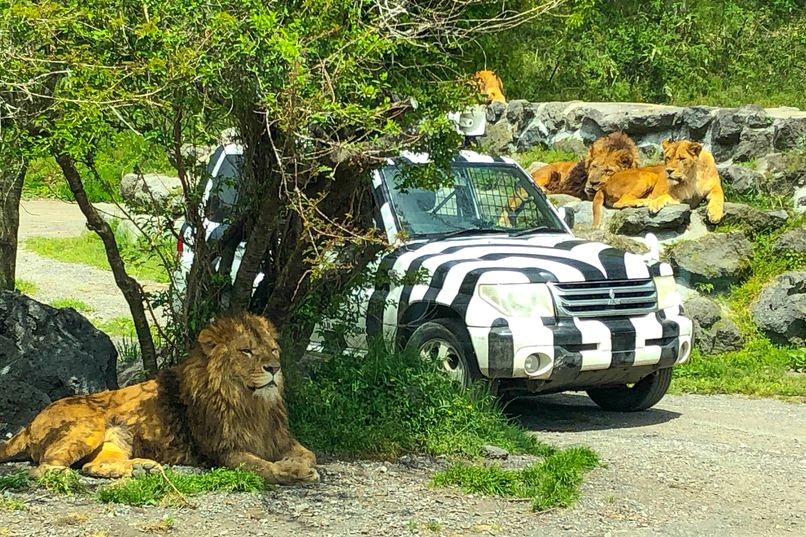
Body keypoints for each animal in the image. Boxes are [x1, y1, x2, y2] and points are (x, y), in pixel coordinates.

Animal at [0, 312, 322, 484]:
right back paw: (67, 478)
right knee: (43, 469)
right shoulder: (221, 451)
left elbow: (310, 454)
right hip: (88, 427)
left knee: (94, 466)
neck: (250, 404)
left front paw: (301, 464)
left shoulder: (279, 439)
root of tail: (29, 424)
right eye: (246, 351)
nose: (274, 368)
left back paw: (141, 468)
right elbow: (262, 466)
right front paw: (293, 471)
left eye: (273, 350)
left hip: (119, 436)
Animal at [592, 138, 728, 226]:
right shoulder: (677, 196)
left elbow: (718, 197)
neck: (691, 176)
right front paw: (654, 203)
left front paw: (715, 214)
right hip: (649, 175)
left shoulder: (714, 188)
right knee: (621, 202)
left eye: (681, 158)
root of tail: (604, 185)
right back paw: (644, 201)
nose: (668, 171)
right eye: (668, 158)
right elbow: (663, 197)